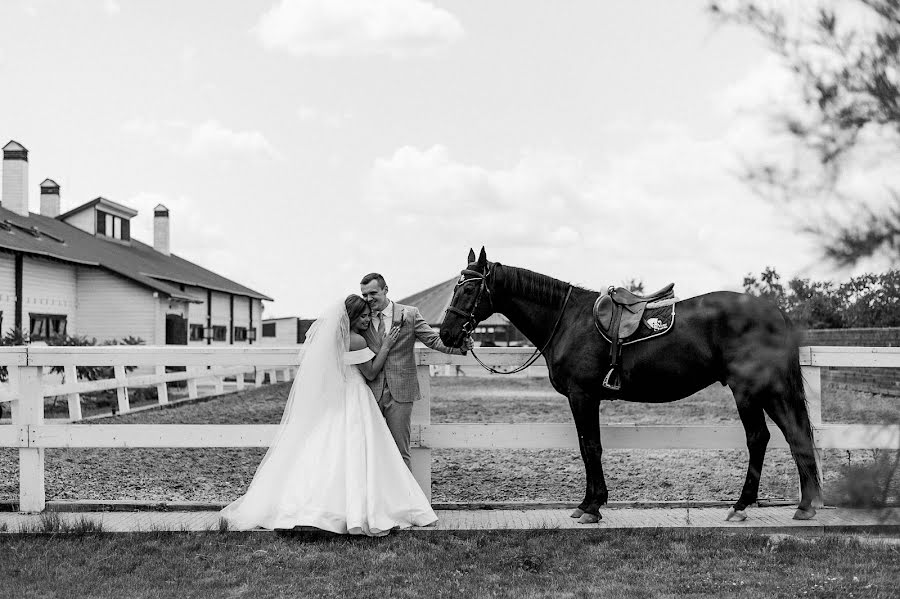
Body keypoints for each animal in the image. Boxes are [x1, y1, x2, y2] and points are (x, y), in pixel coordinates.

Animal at [442, 248, 824, 524]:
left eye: (470, 287)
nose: (447, 333)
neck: (568, 321)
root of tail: (772, 312)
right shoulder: (583, 398)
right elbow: (586, 446)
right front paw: (588, 503)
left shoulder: (583, 396)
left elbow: (590, 447)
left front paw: (592, 507)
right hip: (770, 390)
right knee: (796, 435)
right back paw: (805, 505)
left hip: (747, 390)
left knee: (759, 438)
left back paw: (742, 506)